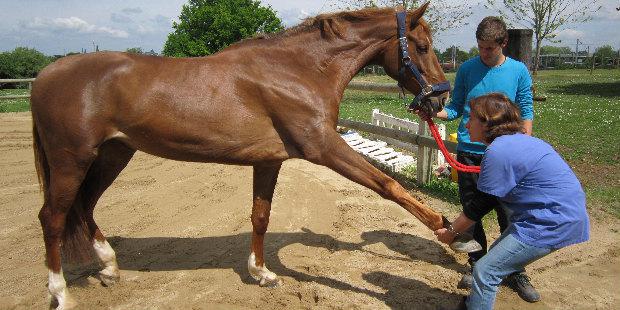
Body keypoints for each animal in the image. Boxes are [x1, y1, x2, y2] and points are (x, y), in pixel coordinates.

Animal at [31, 3, 450, 308]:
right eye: (422, 47)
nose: (440, 99)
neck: (297, 71)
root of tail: (45, 76)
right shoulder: (324, 147)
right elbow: (387, 184)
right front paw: (446, 229)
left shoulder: (268, 160)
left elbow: (260, 217)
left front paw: (261, 273)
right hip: (72, 160)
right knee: (53, 217)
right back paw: (61, 294)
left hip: (113, 154)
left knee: (84, 206)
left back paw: (109, 268)